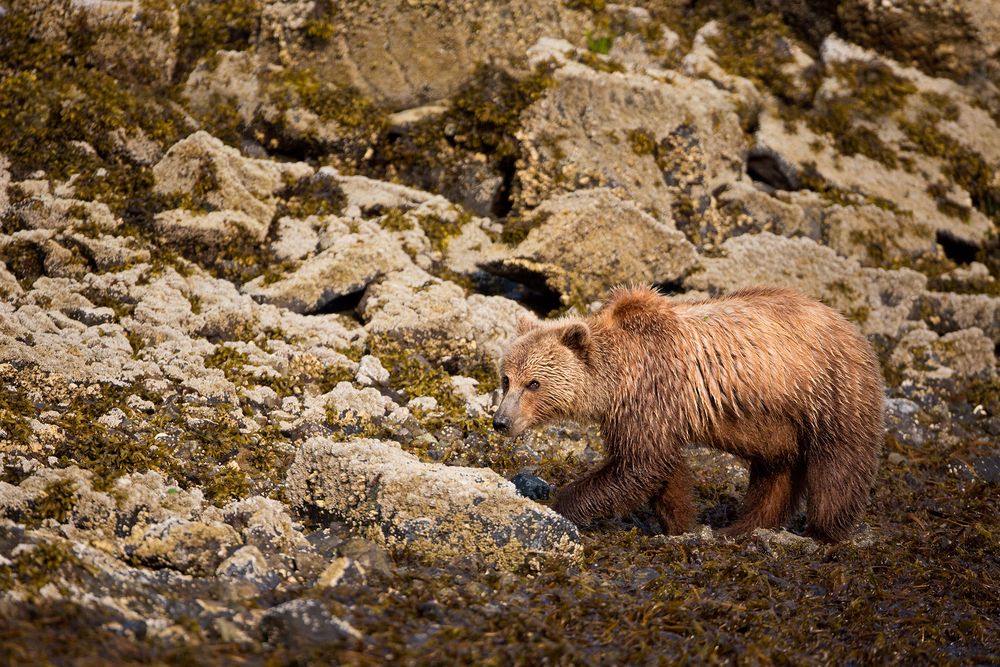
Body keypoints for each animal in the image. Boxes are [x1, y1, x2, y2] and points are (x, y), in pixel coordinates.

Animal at [493, 285, 885, 543]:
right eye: (506, 379)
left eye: (534, 383)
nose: (501, 421)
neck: (616, 378)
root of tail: (851, 326)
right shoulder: (647, 412)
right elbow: (663, 471)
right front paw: (683, 526)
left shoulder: (651, 391)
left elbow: (639, 463)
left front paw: (561, 504)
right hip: (781, 421)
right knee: (777, 470)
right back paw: (742, 527)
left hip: (829, 390)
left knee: (839, 465)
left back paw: (822, 531)